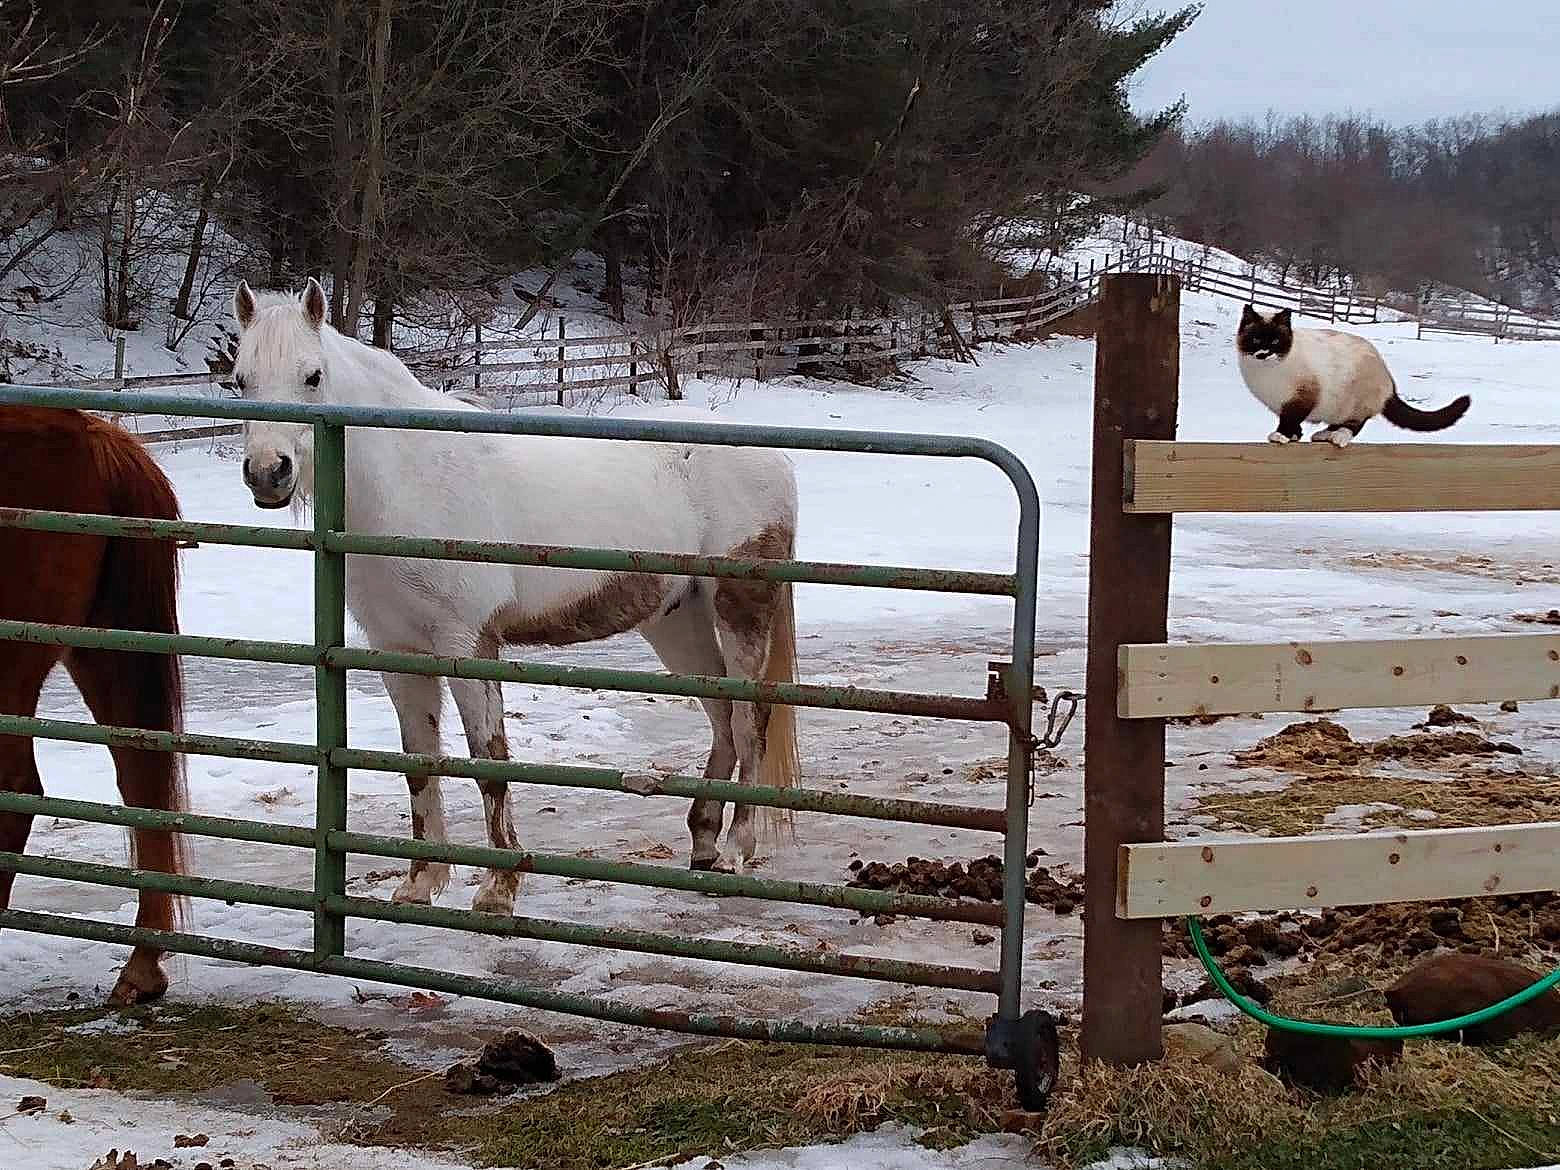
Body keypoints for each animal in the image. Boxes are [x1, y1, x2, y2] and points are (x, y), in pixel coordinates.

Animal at [230, 278, 800, 914]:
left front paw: (498, 888)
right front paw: (420, 883)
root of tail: (773, 458)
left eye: (313, 376)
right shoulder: (397, 651)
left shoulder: (469, 644)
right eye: (241, 380)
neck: (410, 475)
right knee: (722, 717)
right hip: (677, 621)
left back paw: (737, 849)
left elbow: (490, 761)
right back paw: (703, 843)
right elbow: (418, 764)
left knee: (750, 720)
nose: (268, 473)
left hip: (738, 608)